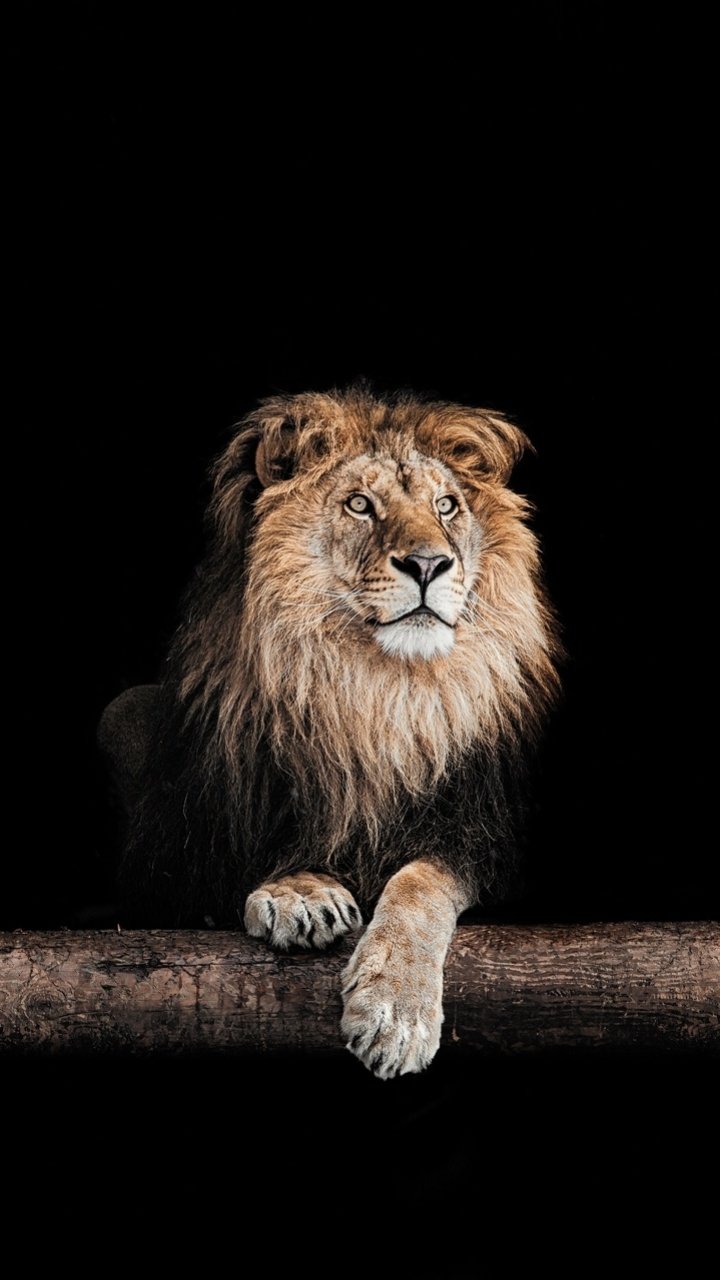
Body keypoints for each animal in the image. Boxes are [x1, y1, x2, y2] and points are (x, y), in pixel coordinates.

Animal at [104, 386, 559, 1078]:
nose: (429, 563)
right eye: (359, 504)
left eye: (446, 506)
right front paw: (301, 892)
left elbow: (422, 881)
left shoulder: (484, 836)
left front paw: (395, 1013)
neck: (370, 694)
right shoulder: (173, 861)